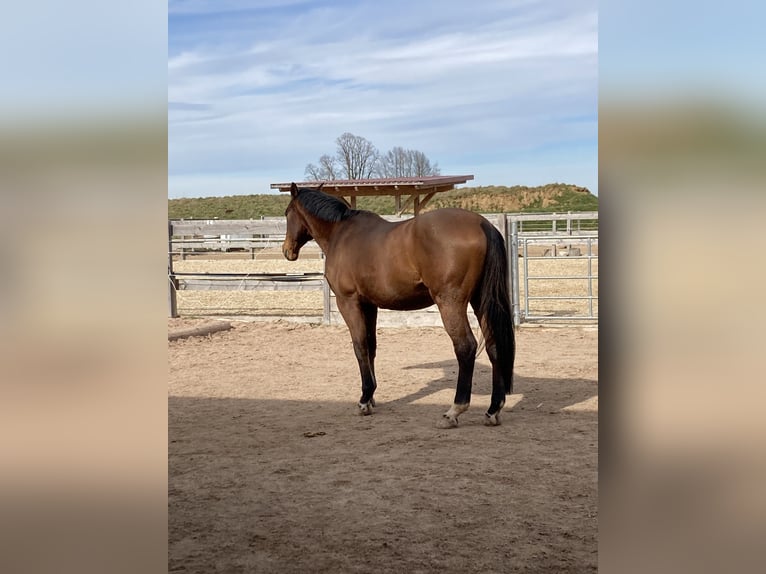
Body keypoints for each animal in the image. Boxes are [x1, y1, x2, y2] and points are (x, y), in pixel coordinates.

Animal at [284, 183, 516, 428]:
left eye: (287, 213)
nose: (287, 250)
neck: (341, 233)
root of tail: (482, 224)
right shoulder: (370, 305)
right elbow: (371, 346)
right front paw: (372, 397)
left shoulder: (348, 302)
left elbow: (359, 346)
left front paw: (364, 399)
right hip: (481, 300)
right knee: (493, 346)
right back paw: (493, 410)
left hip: (450, 302)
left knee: (465, 347)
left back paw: (454, 410)